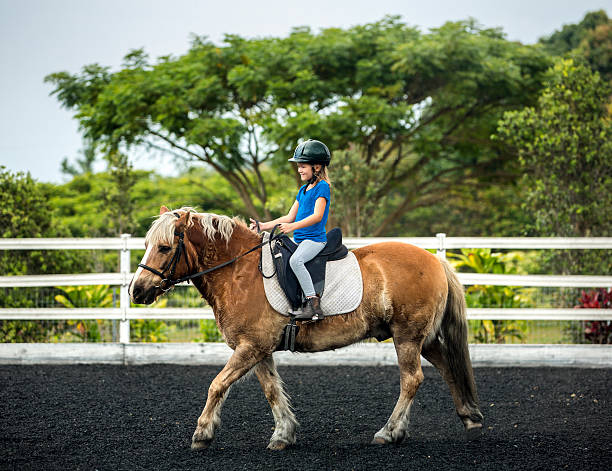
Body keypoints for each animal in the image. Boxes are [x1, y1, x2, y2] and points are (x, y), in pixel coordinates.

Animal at [129, 206, 482, 450]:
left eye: (163, 248)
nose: (136, 290)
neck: (239, 272)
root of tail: (436, 260)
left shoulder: (250, 347)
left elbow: (217, 385)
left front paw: (202, 433)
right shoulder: (258, 349)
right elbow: (271, 390)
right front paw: (284, 434)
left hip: (407, 336)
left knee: (412, 379)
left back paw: (390, 431)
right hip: (422, 337)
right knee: (447, 367)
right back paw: (469, 416)